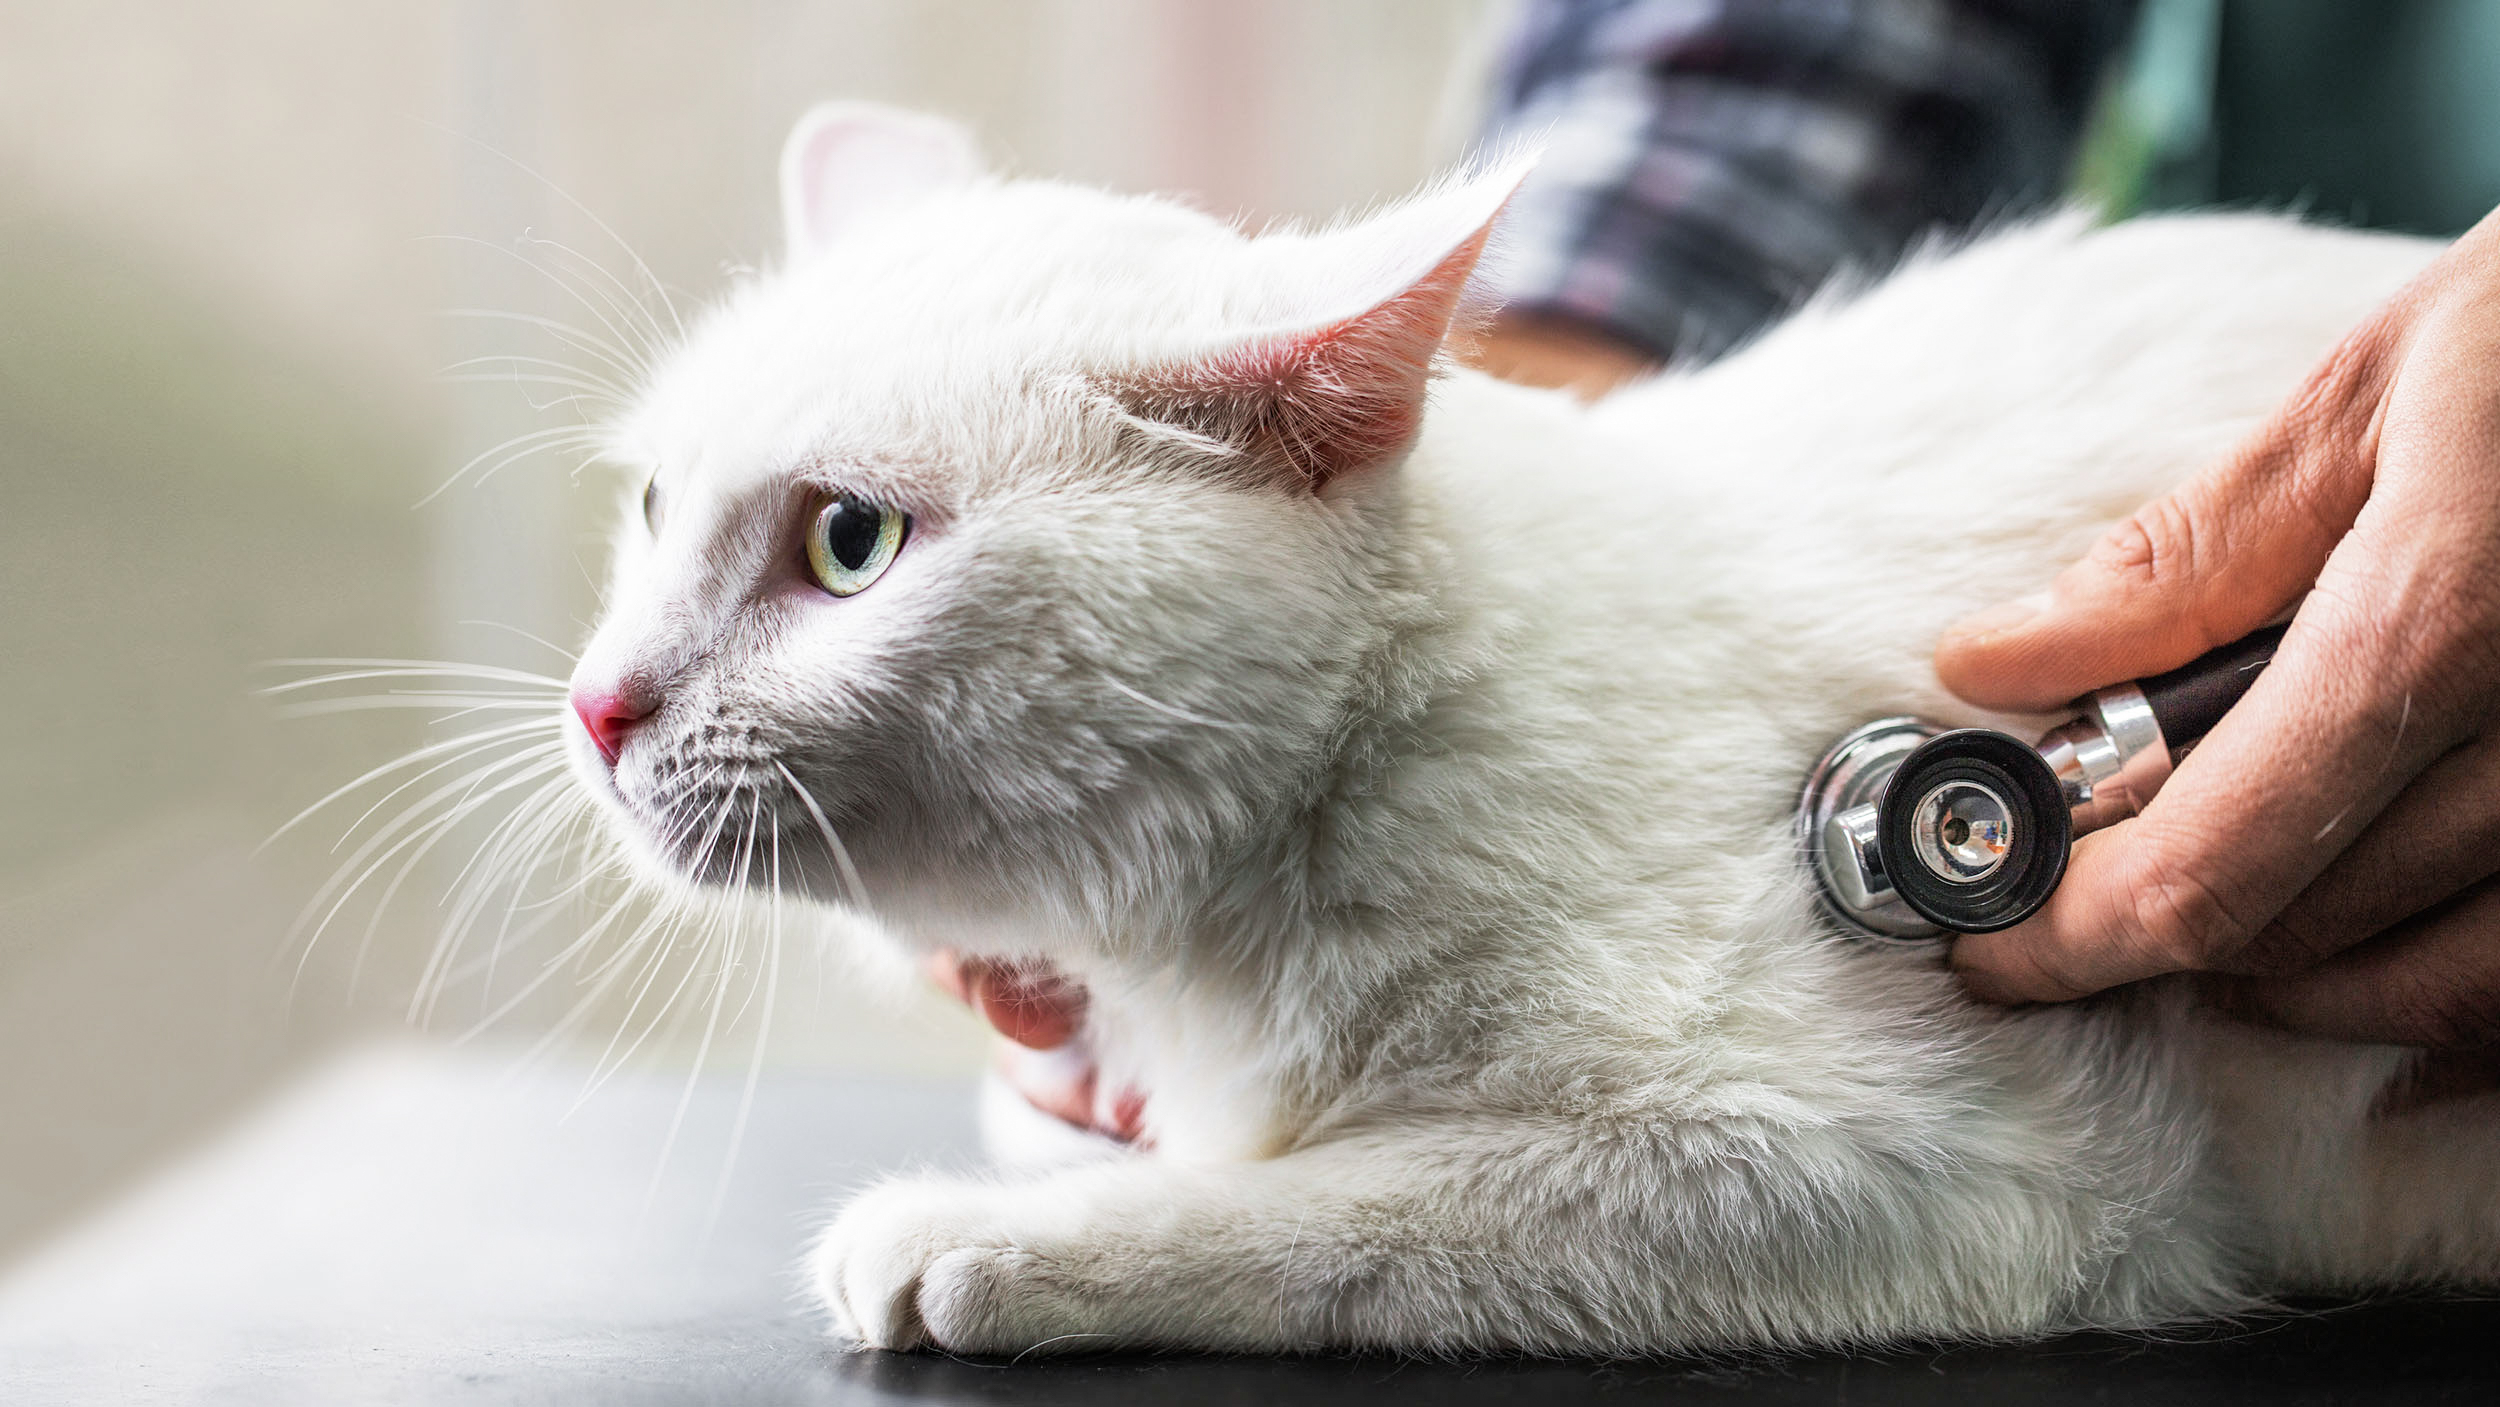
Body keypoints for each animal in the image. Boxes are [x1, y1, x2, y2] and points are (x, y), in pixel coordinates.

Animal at [567, 99, 2500, 1349]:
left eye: (849, 541)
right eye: (654, 505)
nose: (598, 704)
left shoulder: (1938, 1167)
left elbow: (1357, 1210)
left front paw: (1004, 1243)